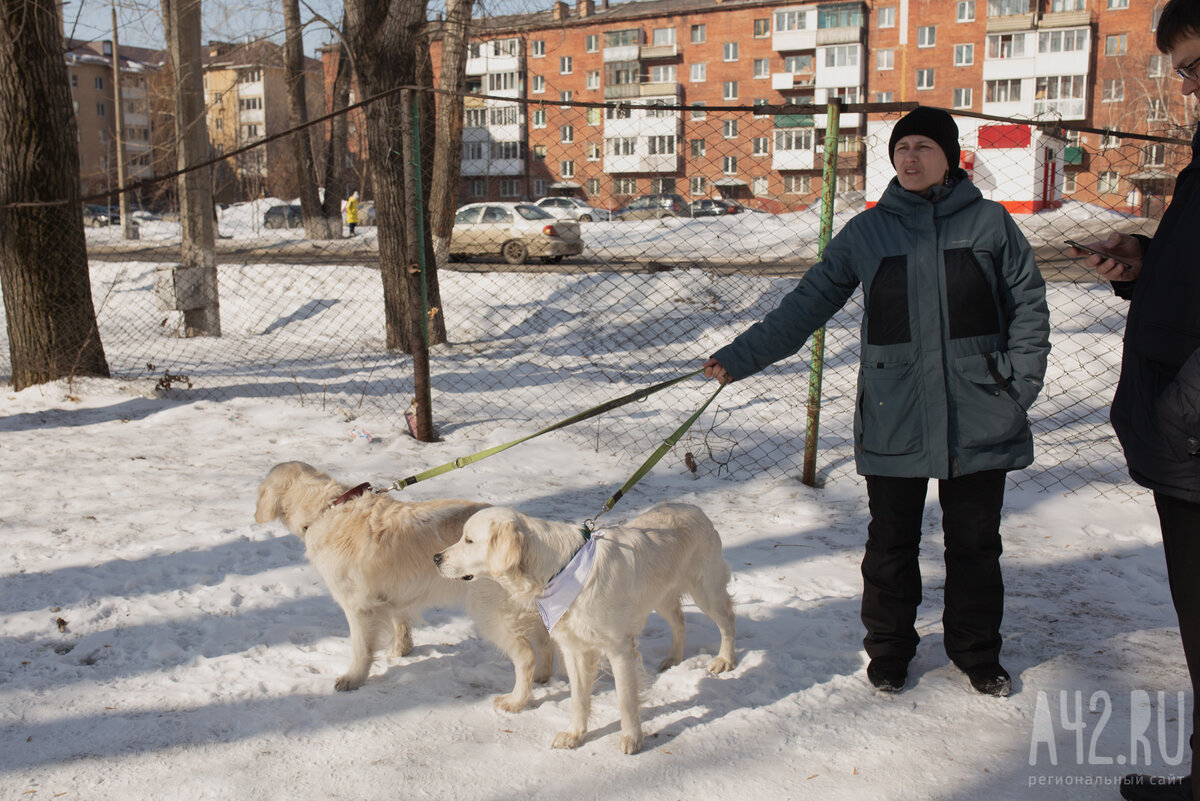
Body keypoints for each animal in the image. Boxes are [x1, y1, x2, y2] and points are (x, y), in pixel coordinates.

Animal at [255, 460, 554, 709]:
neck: (327, 509)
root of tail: (528, 538)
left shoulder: (357, 606)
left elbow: (361, 648)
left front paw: (354, 678)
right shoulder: (391, 594)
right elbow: (400, 622)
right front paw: (402, 650)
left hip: (488, 612)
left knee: (526, 656)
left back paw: (516, 701)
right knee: (545, 641)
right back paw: (543, 676)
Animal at [436, 503, 734, 753]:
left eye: (469, 540)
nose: (436, 558)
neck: (557, 569)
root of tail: (695, 508)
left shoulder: (619, 648)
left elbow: (626, 700)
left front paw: (632, 739)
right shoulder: (574, 648)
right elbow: (578, 698)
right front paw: (574, 735)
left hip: (705, 590)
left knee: (727, 620)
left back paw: (725, 660)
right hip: (661, 597)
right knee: (679, 621)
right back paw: (673, 658)